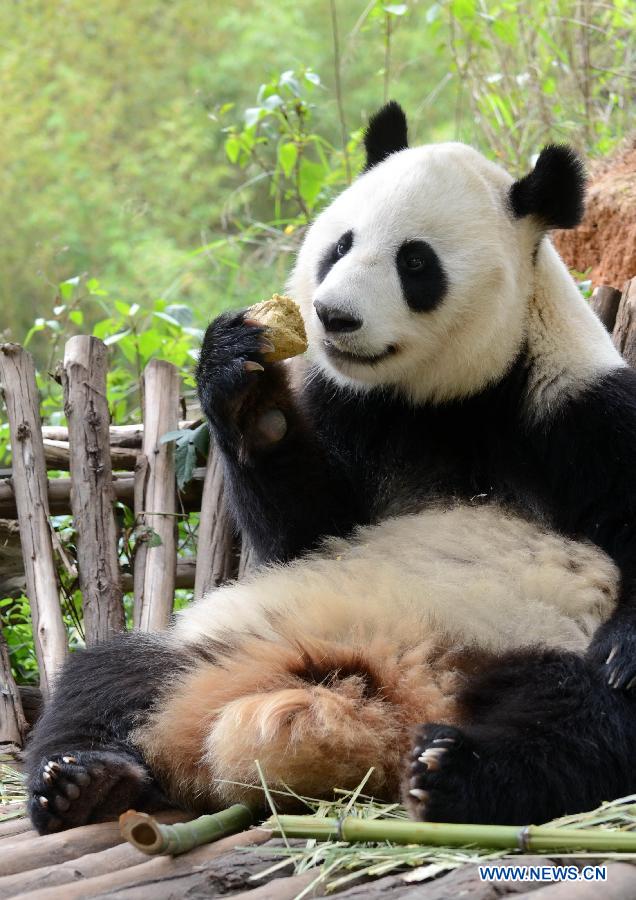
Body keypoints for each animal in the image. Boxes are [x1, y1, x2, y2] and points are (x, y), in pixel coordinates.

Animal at [27, 103, 636, 828]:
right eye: (340, 245)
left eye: (416, 262)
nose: (332, 315)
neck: (449, 398)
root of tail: (380, 689)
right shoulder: (349, 409)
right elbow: (303, 532)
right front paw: (248, 391)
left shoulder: (575, 409)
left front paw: (625, 650)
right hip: (235, 633)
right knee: (107, 676)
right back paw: (85, 781)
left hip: (517, 641)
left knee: (581, 718)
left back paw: (453, 771)